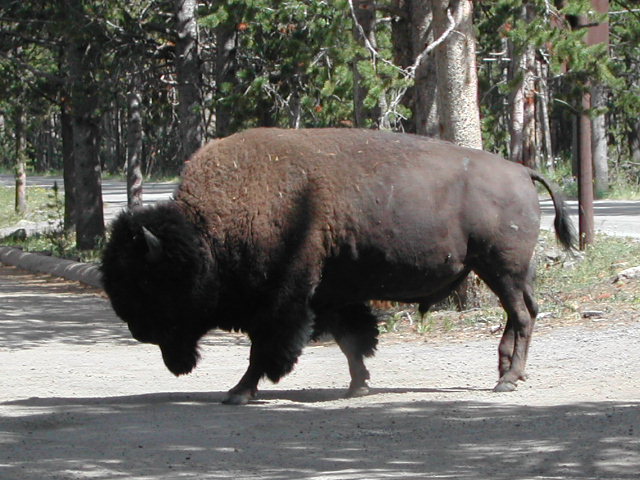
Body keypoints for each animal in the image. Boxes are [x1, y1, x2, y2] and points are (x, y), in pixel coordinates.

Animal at [102, 125, 576, 404]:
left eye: (150, 282)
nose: (138, 331)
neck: (208, 230)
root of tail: (521, 171)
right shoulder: (330, 296)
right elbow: (353, 340)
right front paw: (358, 385)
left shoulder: (283, 301)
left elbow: (266, 349)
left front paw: (238, 392)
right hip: (504, 271)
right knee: (522, 314)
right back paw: (507, 372)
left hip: (501, 268)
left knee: (522, 316)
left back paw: (507, 379)